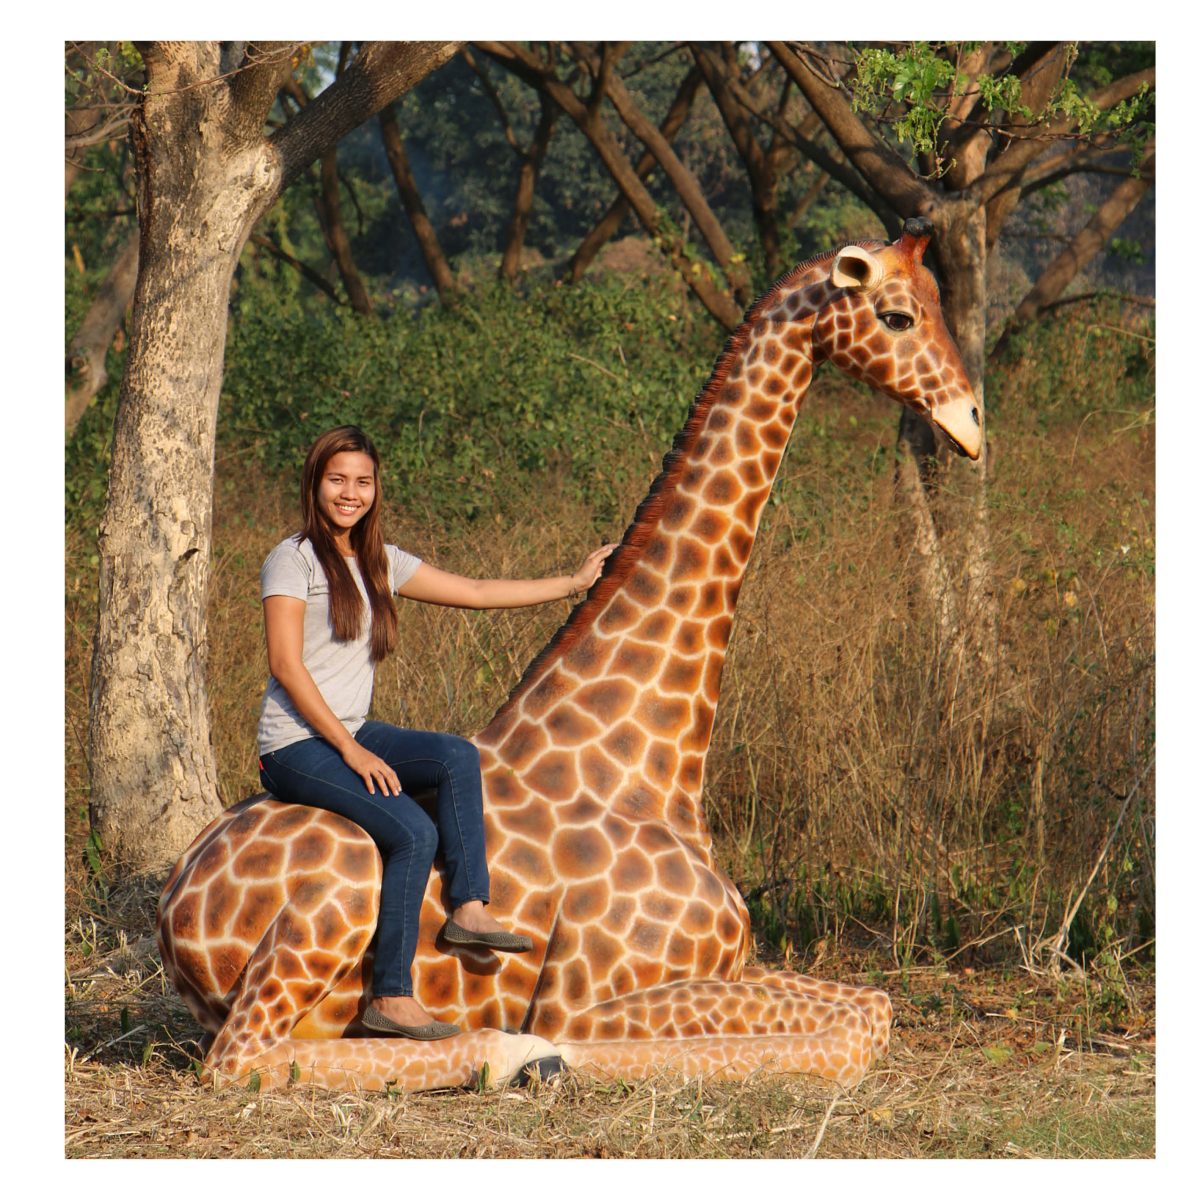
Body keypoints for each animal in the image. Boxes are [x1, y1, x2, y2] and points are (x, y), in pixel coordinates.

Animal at [157, 218, 982, 1094]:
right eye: (897, 316)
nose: (970, 423)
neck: (645, 771)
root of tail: (171, 906)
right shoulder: (589, 994)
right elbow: (848, 1030)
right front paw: (560, 1052)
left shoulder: (732, 961)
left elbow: (872, 1006)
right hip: (320, 923)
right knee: (238, 1059)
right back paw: (505, 1052)